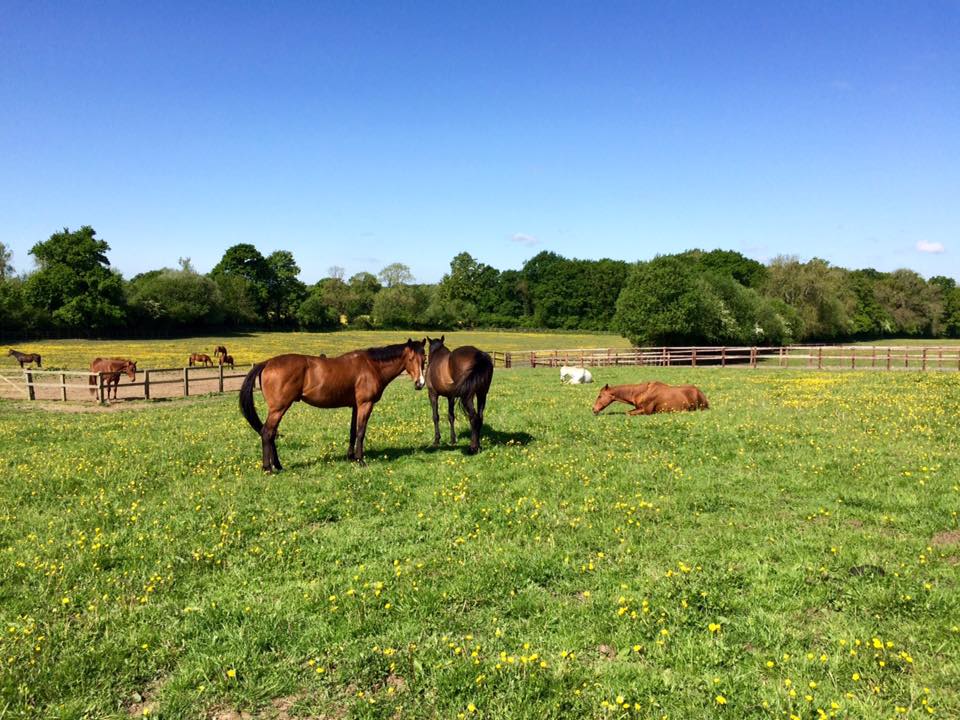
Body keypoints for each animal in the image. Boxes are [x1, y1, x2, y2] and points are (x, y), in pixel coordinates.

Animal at [239, 339, 426, 472]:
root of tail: (267, 362)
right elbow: (361, 432)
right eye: (411, 359)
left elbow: (352, 432)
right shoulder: (365, 404)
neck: (372, 366)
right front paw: (361, 460)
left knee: (271, 434)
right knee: (267, 433)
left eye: (424, 359)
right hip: (278, 409)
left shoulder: (355, 406)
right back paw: (268, 468)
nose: (420, 383)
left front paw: (351, 457)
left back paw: (278, 465)